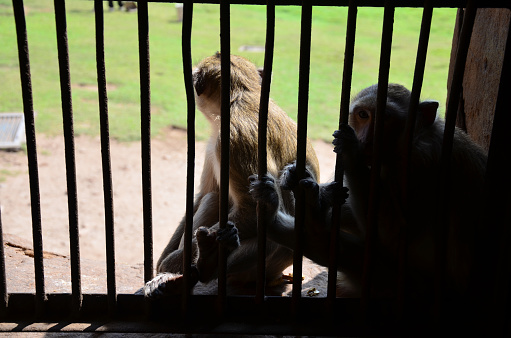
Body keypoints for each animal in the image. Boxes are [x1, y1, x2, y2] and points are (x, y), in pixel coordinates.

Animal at [141, 51, 320, 298]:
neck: (242, 99)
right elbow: (203, 195)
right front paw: (164, 261)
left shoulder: (233, 141)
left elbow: (251, 210)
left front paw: (170, 266)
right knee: (213, 198)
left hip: (260, 270)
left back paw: (206, 265)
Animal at [251, 83, 488, 300]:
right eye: (363, 115)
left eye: (385, 119)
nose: (365, 139)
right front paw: (306, 182)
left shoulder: (422, 162)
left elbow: (393, 237)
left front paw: (350, 153)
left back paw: (308, 225)